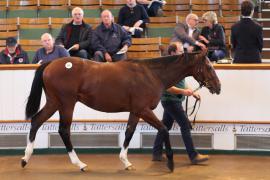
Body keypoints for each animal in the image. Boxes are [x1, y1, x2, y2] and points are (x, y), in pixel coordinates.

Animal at [20, 50, 219, 172]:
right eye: (209, 66)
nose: (218, 87)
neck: (152, 74)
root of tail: (51, 63)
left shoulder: (135, 111)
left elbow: (129, 132)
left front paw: (126, 162)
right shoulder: (143, 109)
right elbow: (163, 129)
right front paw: (170, 163)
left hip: (54, 102)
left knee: (36, 121)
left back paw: (25, 159)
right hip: (66, 104)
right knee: (63, 130)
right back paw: (80, 164)